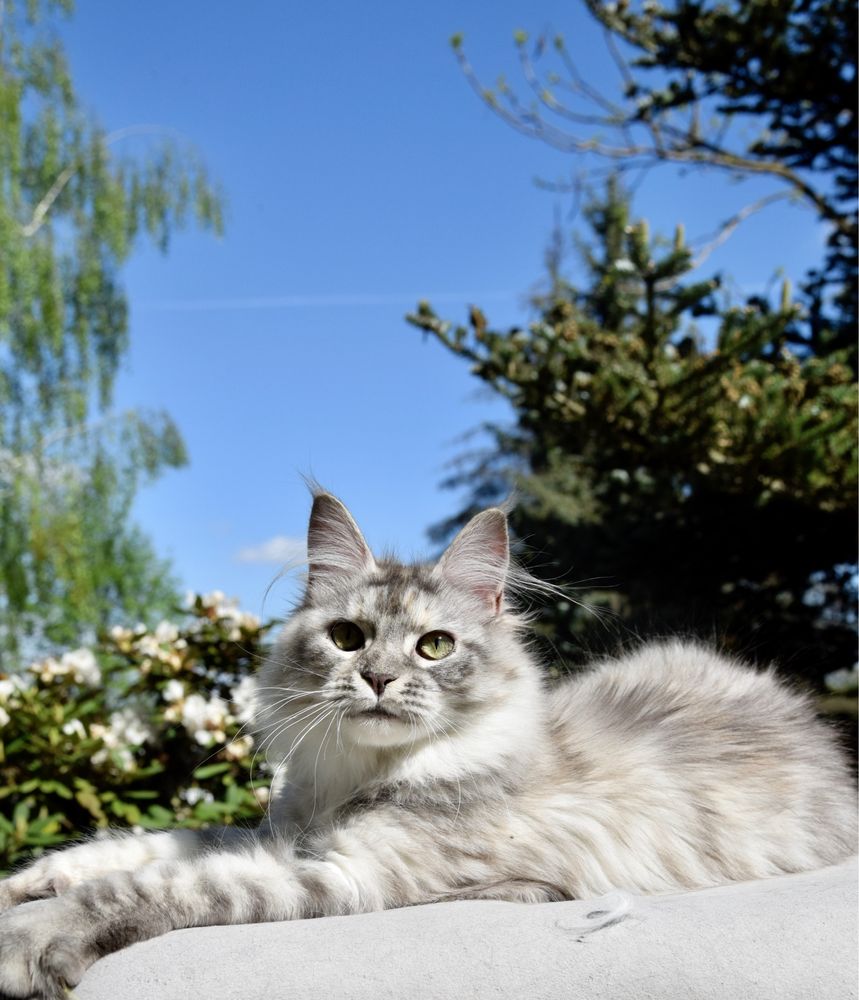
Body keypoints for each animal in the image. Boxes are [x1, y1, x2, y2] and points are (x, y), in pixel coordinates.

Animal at [0, 488, 856, 996]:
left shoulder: (348, 876)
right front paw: (29, 882)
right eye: (347, 637)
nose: (378, 678)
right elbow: (150, 846)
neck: (356, 779)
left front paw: (28, 939)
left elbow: (152, 886)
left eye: (435, 647)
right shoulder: (283, 832)